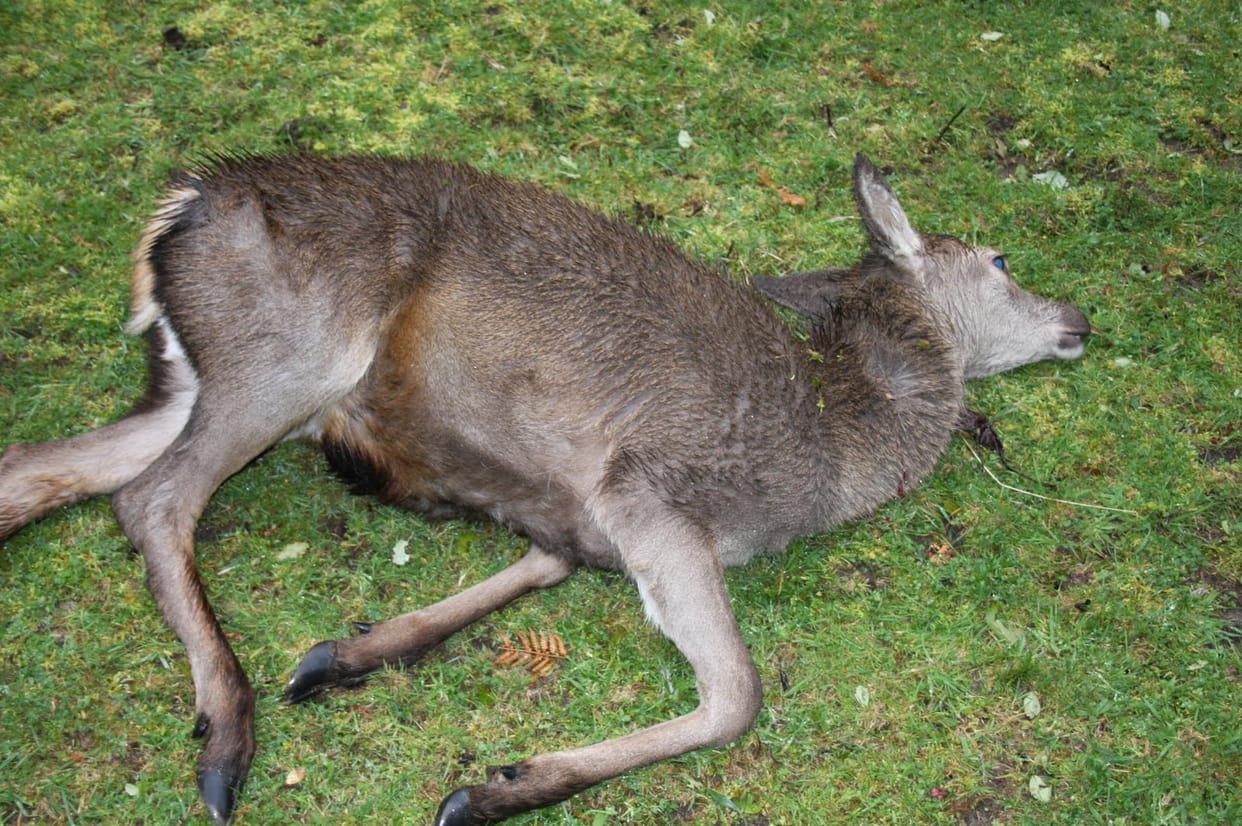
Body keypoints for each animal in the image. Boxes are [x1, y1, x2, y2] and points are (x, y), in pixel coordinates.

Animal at [0, 153, 1090, 824]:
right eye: (1001, 257)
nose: (1079, 315)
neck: (840, 443)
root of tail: (178, 206)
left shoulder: (571, 513)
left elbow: (539, 567)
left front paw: (346, 654)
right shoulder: (644, 486)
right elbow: (737, 695)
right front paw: (492, 788)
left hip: (194, 374)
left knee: (44, 467)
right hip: (289, 356)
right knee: (155, 499)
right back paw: (225, 741)